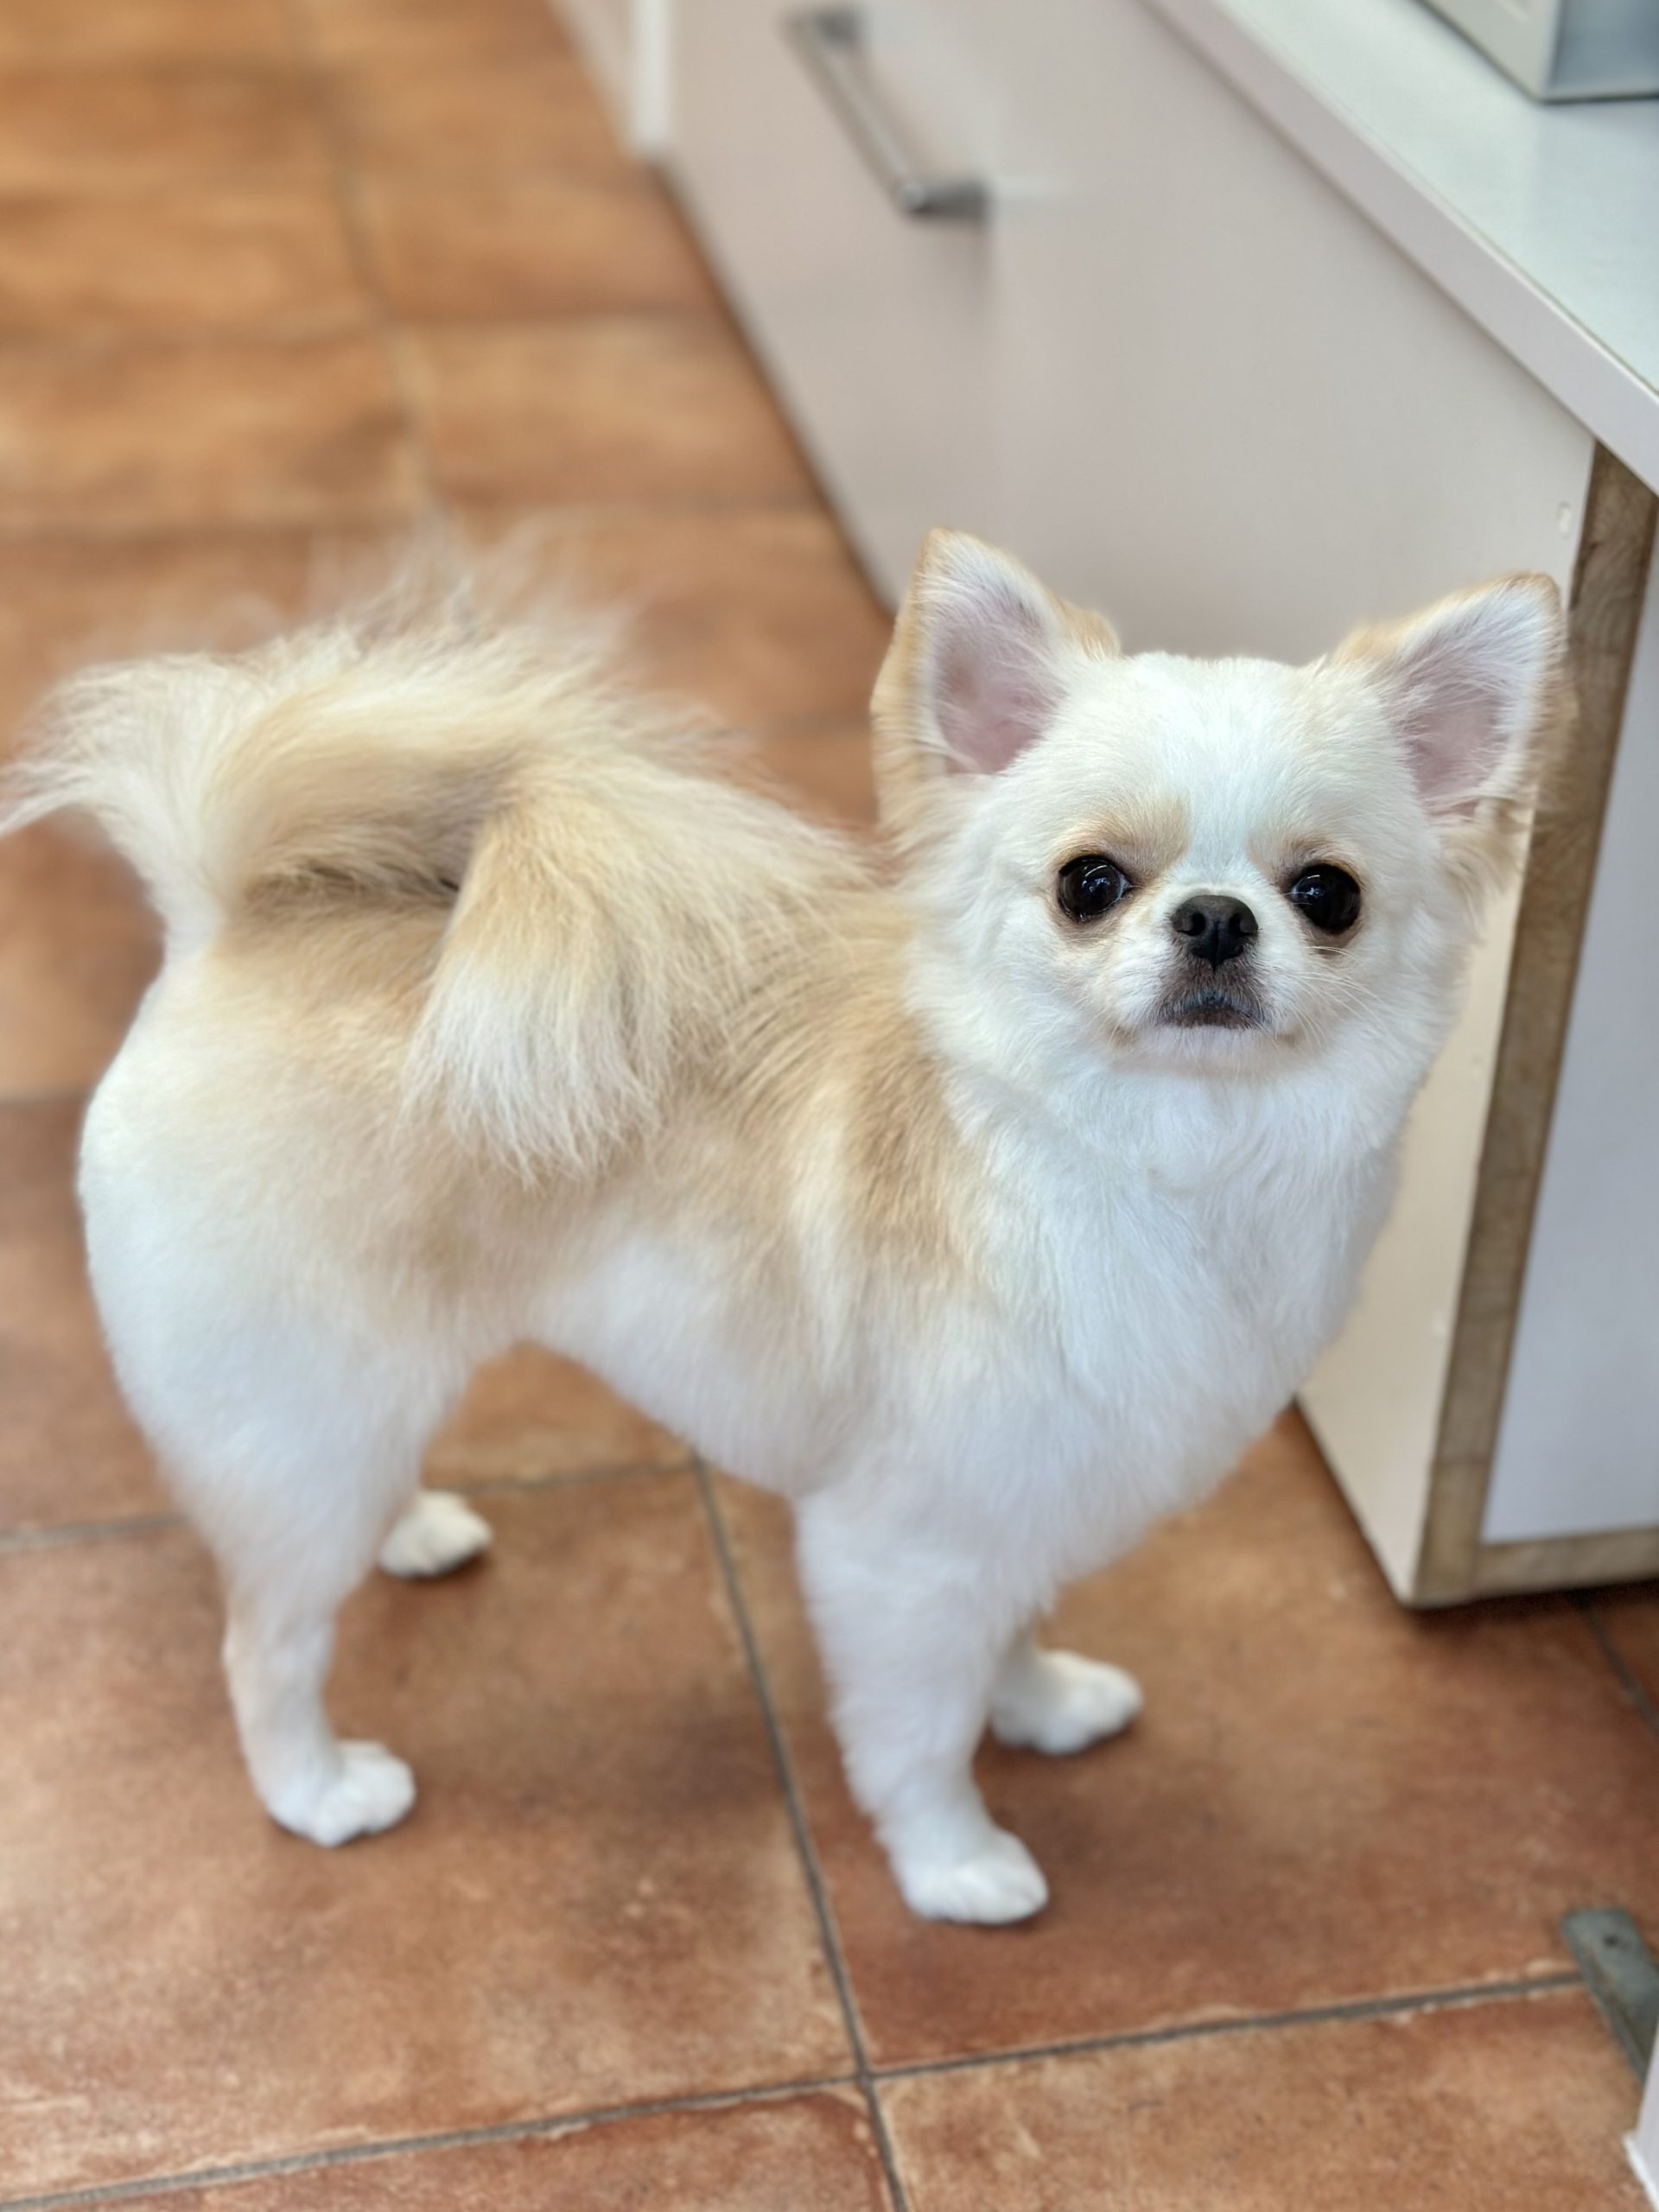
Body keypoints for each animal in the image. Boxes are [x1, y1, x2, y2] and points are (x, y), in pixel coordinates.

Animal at [2, 531, 1563, 1922]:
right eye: (1092, 884)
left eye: (1327, 895)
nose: (1220, 921)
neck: (1162, 1162)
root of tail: (221, 923)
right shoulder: (900, 1546)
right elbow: (920, 1733)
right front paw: (956, 1866)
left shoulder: (1020, 1495)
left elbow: (1015, 1626)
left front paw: (1042, 1702)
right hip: (296, 1415)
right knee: (264, 1644)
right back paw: (317, 1791)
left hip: (348, 1398)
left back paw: (417, 1530)